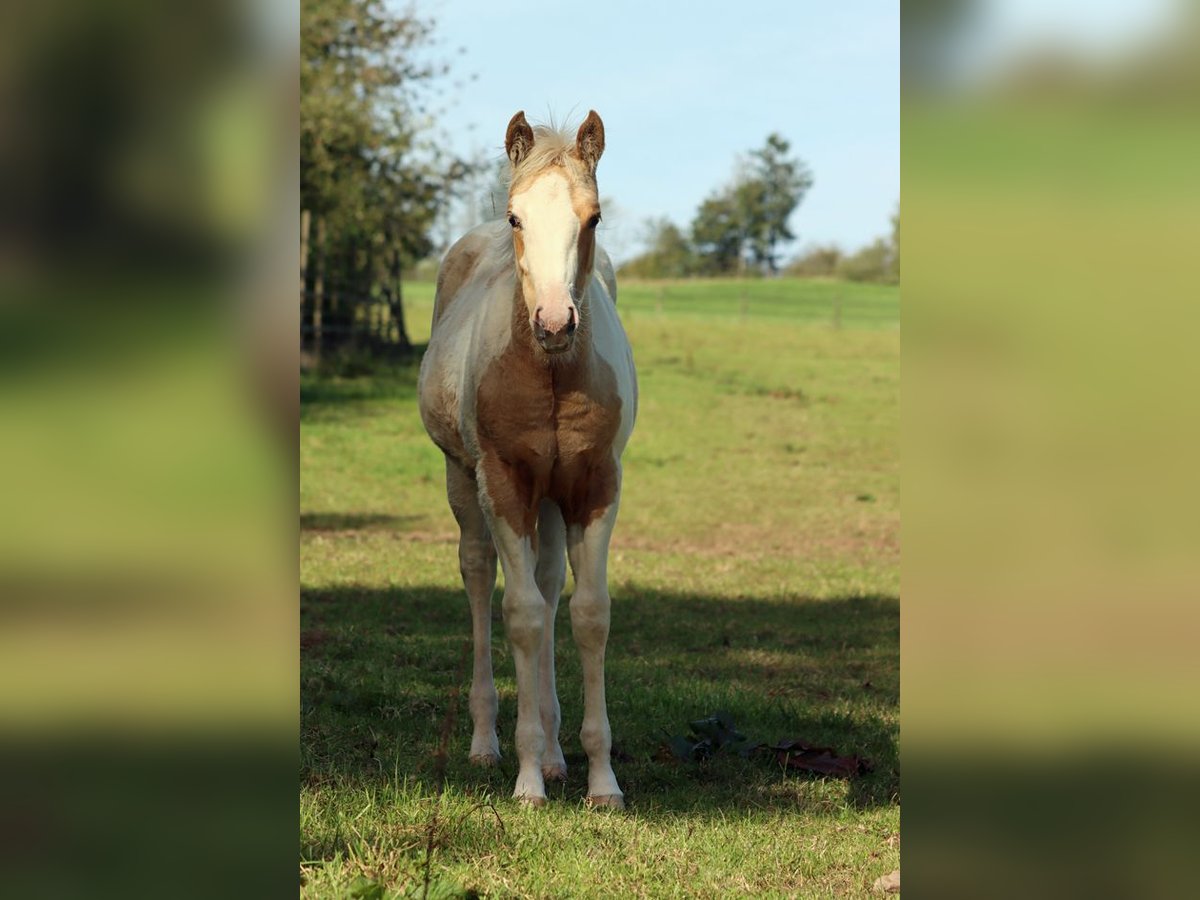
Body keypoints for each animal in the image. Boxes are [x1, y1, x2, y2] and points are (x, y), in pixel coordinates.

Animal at [418, 110, 637, 808]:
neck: (550, 374)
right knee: (480, 574)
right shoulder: (505, 483)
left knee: (545, 581)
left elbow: (587, 614)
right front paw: (526, 781)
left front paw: (600, 780)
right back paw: (488, 744)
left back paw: (558, 753)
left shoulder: (595, 485)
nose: (554, 322)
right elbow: (521, 616)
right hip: (465, 481)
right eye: (517, 217)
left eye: (593, 217)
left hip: (552, 498)